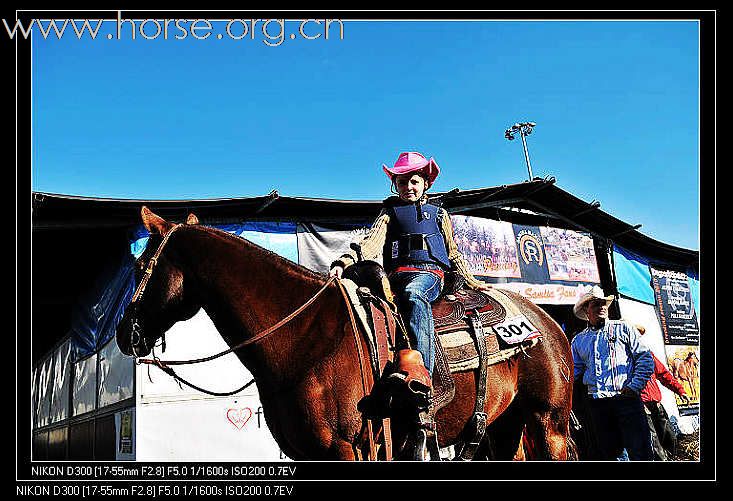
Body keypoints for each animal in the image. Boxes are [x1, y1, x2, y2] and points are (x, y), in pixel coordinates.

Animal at [116, 208, 572, 460]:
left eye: (139, 267)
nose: (122, 333)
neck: (302, 338)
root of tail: (547, 321)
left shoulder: (344, 448)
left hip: (549, 425)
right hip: (505, 427)